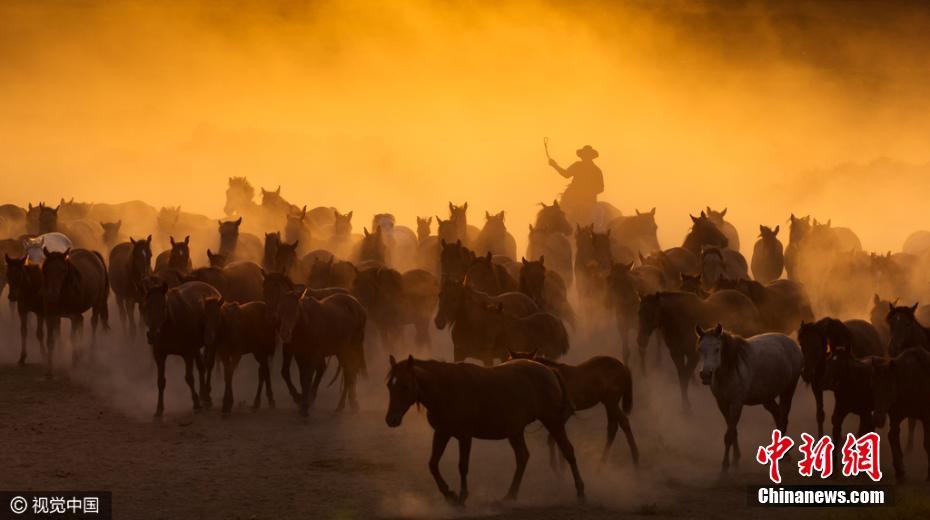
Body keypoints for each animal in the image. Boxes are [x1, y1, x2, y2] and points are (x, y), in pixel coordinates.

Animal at [140, 278, 218, 416]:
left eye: (163, 306)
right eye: (147, 306)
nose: (152, 335)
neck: (171, 325)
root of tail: (213, 290)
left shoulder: (187, 353)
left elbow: (189, 378)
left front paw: (196, 404)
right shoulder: (159, 355)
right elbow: (161, 381)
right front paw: (159, 410)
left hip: (210, 342)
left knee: (209, 365)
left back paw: (207, 398)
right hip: (196, 348)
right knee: (201, 366)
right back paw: (203, 395)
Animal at [382, 356, 580, 506]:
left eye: (405, 386)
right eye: (389, 386)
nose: (391, 420)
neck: (446, 389)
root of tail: (549, 370)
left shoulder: (464, 437)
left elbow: (462, 466)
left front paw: (461, 497)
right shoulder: (442, 433)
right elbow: (433, 464)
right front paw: (449, 495)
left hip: (553, 421)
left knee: (568, 451)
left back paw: (581, 492)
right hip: (515, 431)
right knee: (523, 457)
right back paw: (510, 496)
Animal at [508, 350, 640, 468]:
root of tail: (622, 365)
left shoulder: (564, 413)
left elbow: (553, 439)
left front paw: (557, 469)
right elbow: (555, 439)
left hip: (611, 402)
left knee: (620, 424)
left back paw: (630, 459)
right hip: (608, 403)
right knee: (616, 425)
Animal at [692, 328, 800, 474]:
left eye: (717, 349)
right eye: (700, 349)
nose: (705, 374)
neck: (730, 370)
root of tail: (793, 344)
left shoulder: (736, 404)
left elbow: (729, 435)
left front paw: (725, 466)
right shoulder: (722, 404)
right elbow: (732, 431)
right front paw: (736, 458)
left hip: (789, 390)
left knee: (783, 418)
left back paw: (785, 457)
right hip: (767, 398)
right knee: (778, 417)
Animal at [872, 346, 928, 480]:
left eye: (889, 389)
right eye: (874, 387)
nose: (877, 419)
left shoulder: (926, 418)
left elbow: (927, 443)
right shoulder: (896, 417)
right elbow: (893, 436)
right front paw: (900, 469)